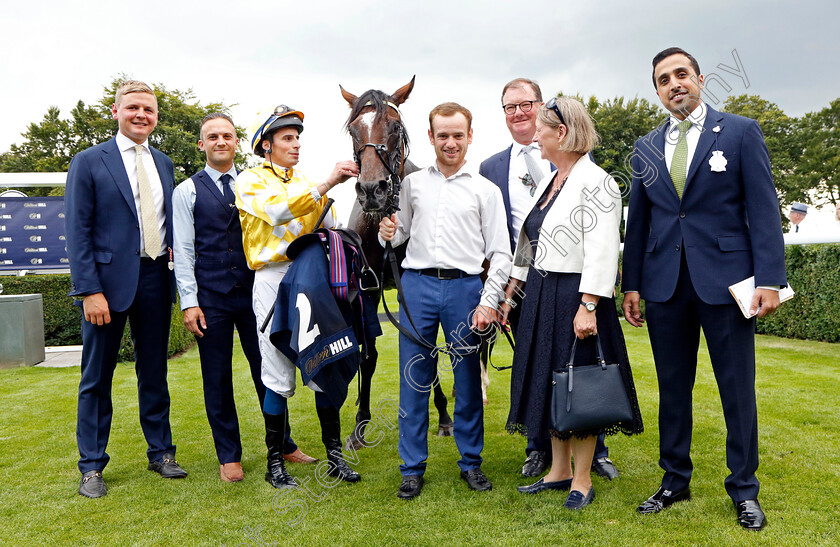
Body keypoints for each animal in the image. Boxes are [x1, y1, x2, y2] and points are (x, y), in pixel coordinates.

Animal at [338, 79, 456, 452]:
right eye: (353, 130)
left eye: (395, 126)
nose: (371, 190)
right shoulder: (366, 290)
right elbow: (368, 356)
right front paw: (360, 425)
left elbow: (426, 350)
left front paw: (444, 416)